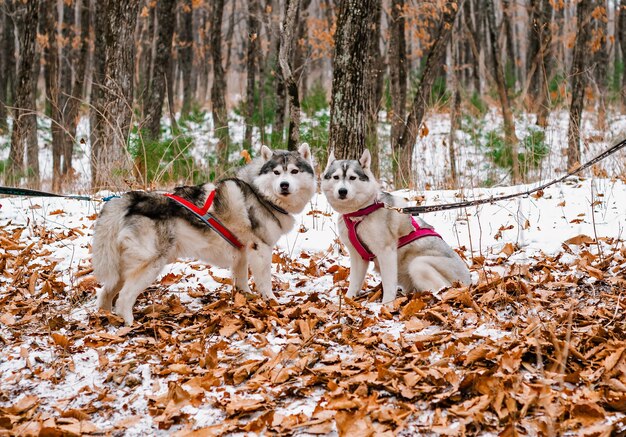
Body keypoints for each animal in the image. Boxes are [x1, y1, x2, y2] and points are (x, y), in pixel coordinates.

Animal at [91, 143, 316, 324]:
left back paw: (106, 320)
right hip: (149, 265)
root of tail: (129, 200)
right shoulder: (260, 248)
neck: (259, 193)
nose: (284, 185)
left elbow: (241, 281)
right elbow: (265, 282)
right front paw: (271, 302)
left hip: (122, 269)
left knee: (105, 294)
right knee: (123, 299)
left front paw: (246, 299)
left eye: (294, 171)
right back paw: (130, 325)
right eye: (277, 172)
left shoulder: (241, 253)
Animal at [322, 149, 468, 304]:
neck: (360, 213)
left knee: (441, 290)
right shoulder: (357, 256)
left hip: (419, 265)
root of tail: (467, 283)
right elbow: (354, 282)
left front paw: (386, 304)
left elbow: (388, 284)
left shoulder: (386, 253)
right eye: (336, 177)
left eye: (352, 177)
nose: (342, 191)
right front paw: (348, 300)